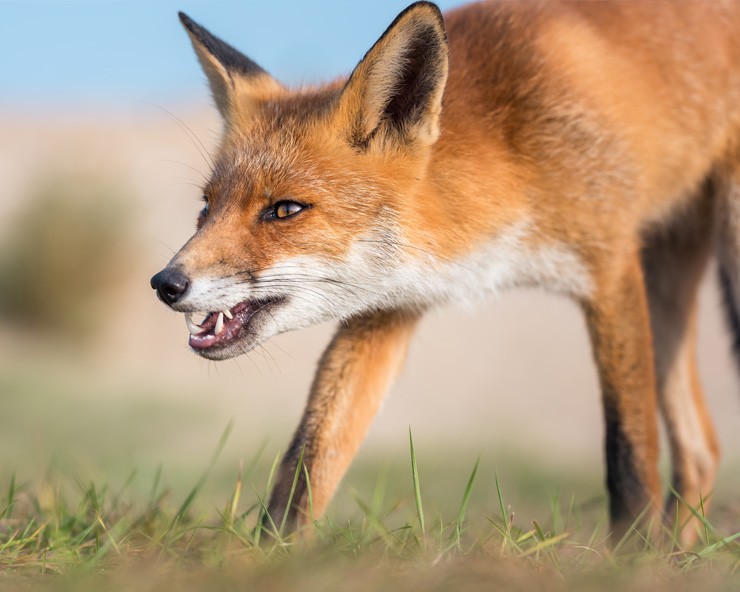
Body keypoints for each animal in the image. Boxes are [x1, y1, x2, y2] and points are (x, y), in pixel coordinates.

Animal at [152, 1, 740, 544]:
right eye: (207, 208)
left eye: (285, 210)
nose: (165, 283)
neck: (511, 160)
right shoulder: (388, 307)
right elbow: (310, 457)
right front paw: (268, 557)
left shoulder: (611, 267)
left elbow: (629, 458)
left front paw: (630, 561)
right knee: (702, 449)